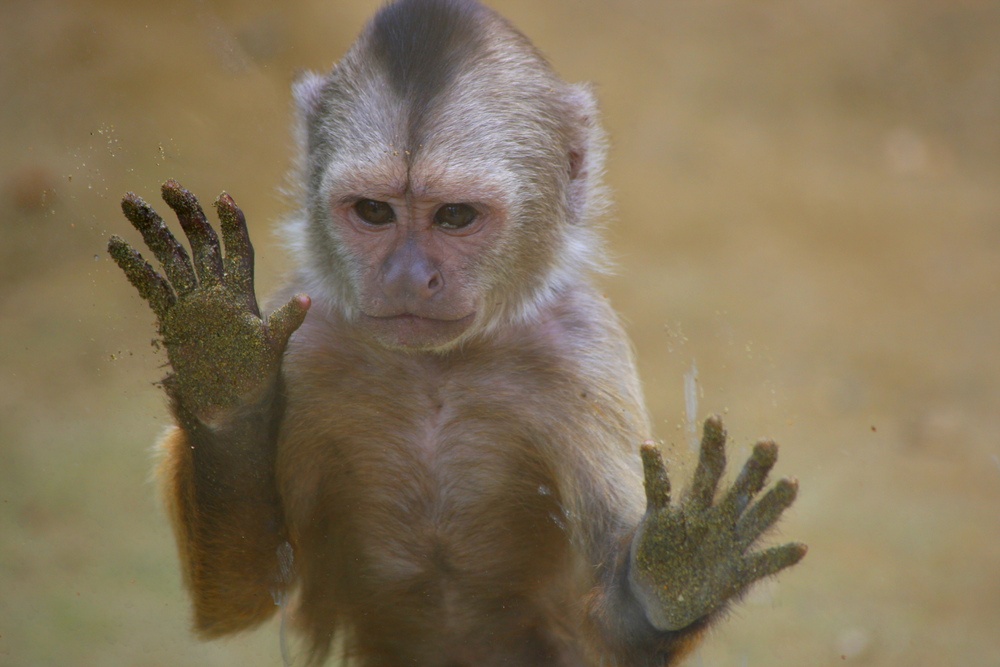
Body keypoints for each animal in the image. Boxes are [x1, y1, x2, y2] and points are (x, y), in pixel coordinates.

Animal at [107, 0, 804, 664]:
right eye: (373, 211)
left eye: (456, 216)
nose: (409, 277)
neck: (435, 366)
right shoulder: (306, 335)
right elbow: (241, 596)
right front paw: (221, 365)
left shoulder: (582, 350)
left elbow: (612, 631)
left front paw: (680, 571)